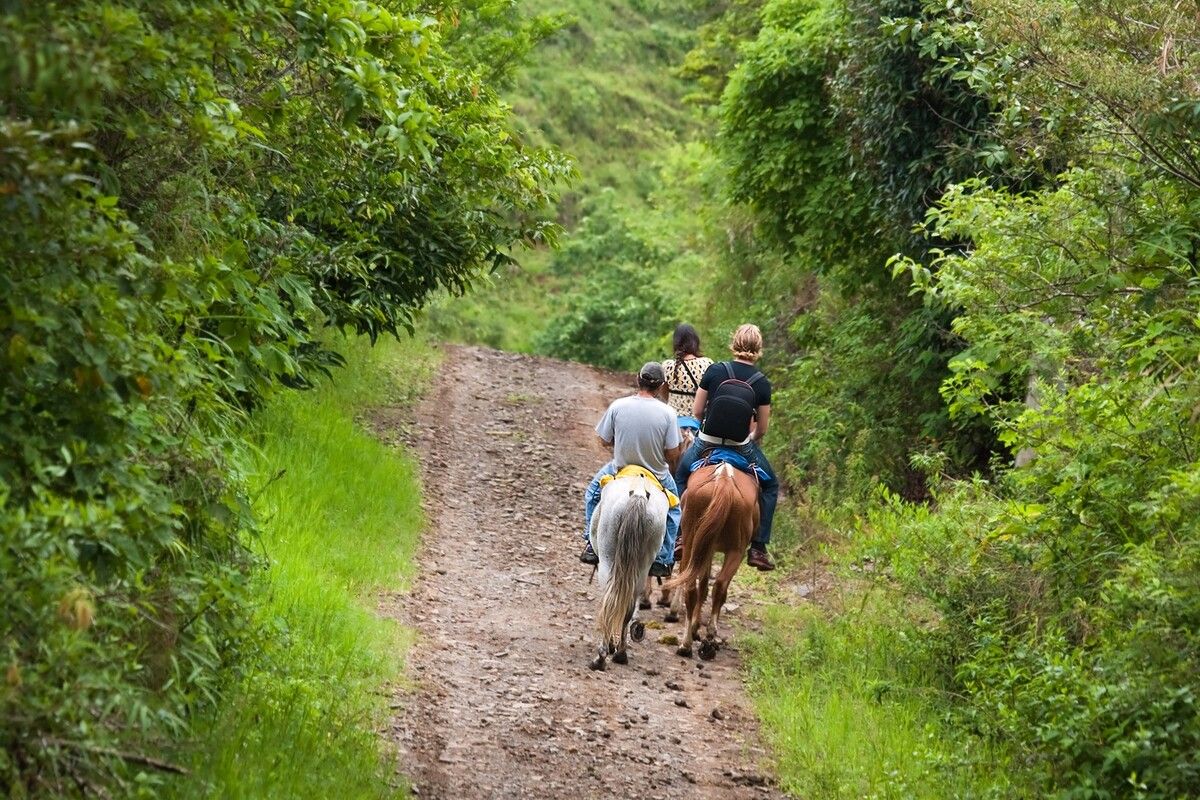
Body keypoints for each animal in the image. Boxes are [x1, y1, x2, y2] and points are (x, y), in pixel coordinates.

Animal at [588, 474, 669, 671]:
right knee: (627, 606)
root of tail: (639, 494)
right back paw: (621, 653)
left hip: (608, 559)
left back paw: (602, 656)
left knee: (610, 601)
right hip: (641, 565)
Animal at [665, 461, 759, 660]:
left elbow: (703, 586)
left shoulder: (707, 548)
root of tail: (724, 480)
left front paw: (695, 626)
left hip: (695, 541)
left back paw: (687, 644)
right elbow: (706, 586)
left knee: (696, 587)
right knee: (716, 587)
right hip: (733, 550)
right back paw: (705, 636)